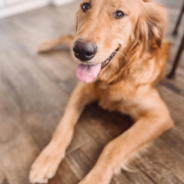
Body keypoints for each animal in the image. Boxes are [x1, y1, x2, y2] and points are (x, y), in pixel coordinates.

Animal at [29, 0, 173, 183]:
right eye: (85, 6)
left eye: (119, 14)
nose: (81, 50)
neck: (114, 76)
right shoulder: (82, 89)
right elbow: (63, 126)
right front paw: (47, 159)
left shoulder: (159, 115)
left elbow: (114, 146)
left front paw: (94, 178)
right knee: (68, 37)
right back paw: (45, 45)